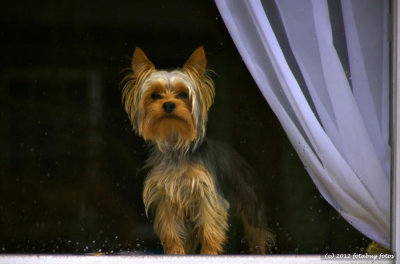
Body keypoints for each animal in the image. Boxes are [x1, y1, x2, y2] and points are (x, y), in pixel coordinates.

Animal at [121, 46, 276, 255]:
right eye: (154, 95)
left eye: (182, 94)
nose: (168, 104)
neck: (175, 144)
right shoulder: (165, 195)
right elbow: (169, 227)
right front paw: (175, 252)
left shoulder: (206, 193)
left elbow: (210, 224)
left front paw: (209, 252)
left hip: (249, 200)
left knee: (257, 232)